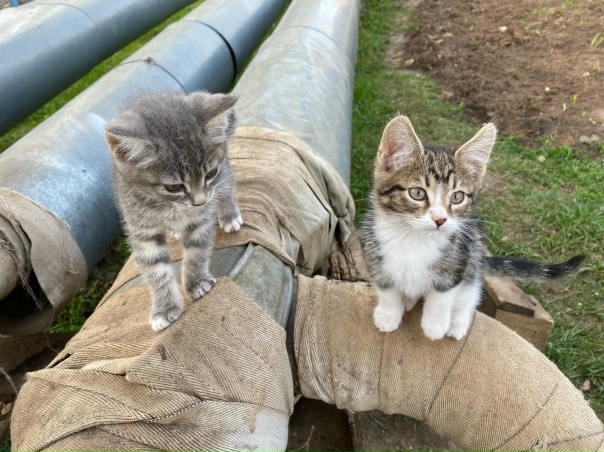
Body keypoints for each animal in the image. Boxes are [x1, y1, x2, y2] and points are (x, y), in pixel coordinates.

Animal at [104, 92, 243, 332]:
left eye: (210, 173)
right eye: (174, 187)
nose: (200, 201)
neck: (168, 207)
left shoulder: (202, 216)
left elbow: (197, 249)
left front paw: (197, 283)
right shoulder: (141, 228)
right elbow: (155, 268)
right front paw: (165, 307)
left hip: (224, 175)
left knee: (227, 185)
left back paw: (229, 215)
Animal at [360, 115, 584, 340]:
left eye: (457, 197)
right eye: (417, 193)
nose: (440, 220)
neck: (414, 239)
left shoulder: (460, 260)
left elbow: (443, 294)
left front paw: (435, 325)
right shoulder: (373, 254)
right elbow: (386, 288)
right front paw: (388, 315)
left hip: (474, 255)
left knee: (470, 293)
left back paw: (457, 322)